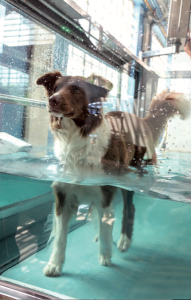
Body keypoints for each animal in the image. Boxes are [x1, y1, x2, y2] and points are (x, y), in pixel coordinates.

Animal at [36, 70, 190, 276]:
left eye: (77, 90)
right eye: (55, 88)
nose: (53, 100)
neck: (77, 137)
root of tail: (141, 120)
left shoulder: (106, 191)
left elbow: (106, 227)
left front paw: (105, 256)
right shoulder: (63, 196)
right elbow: (60, 236)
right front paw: (54, 265)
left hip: (132, 176)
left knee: (129, 208)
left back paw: (125, 240)